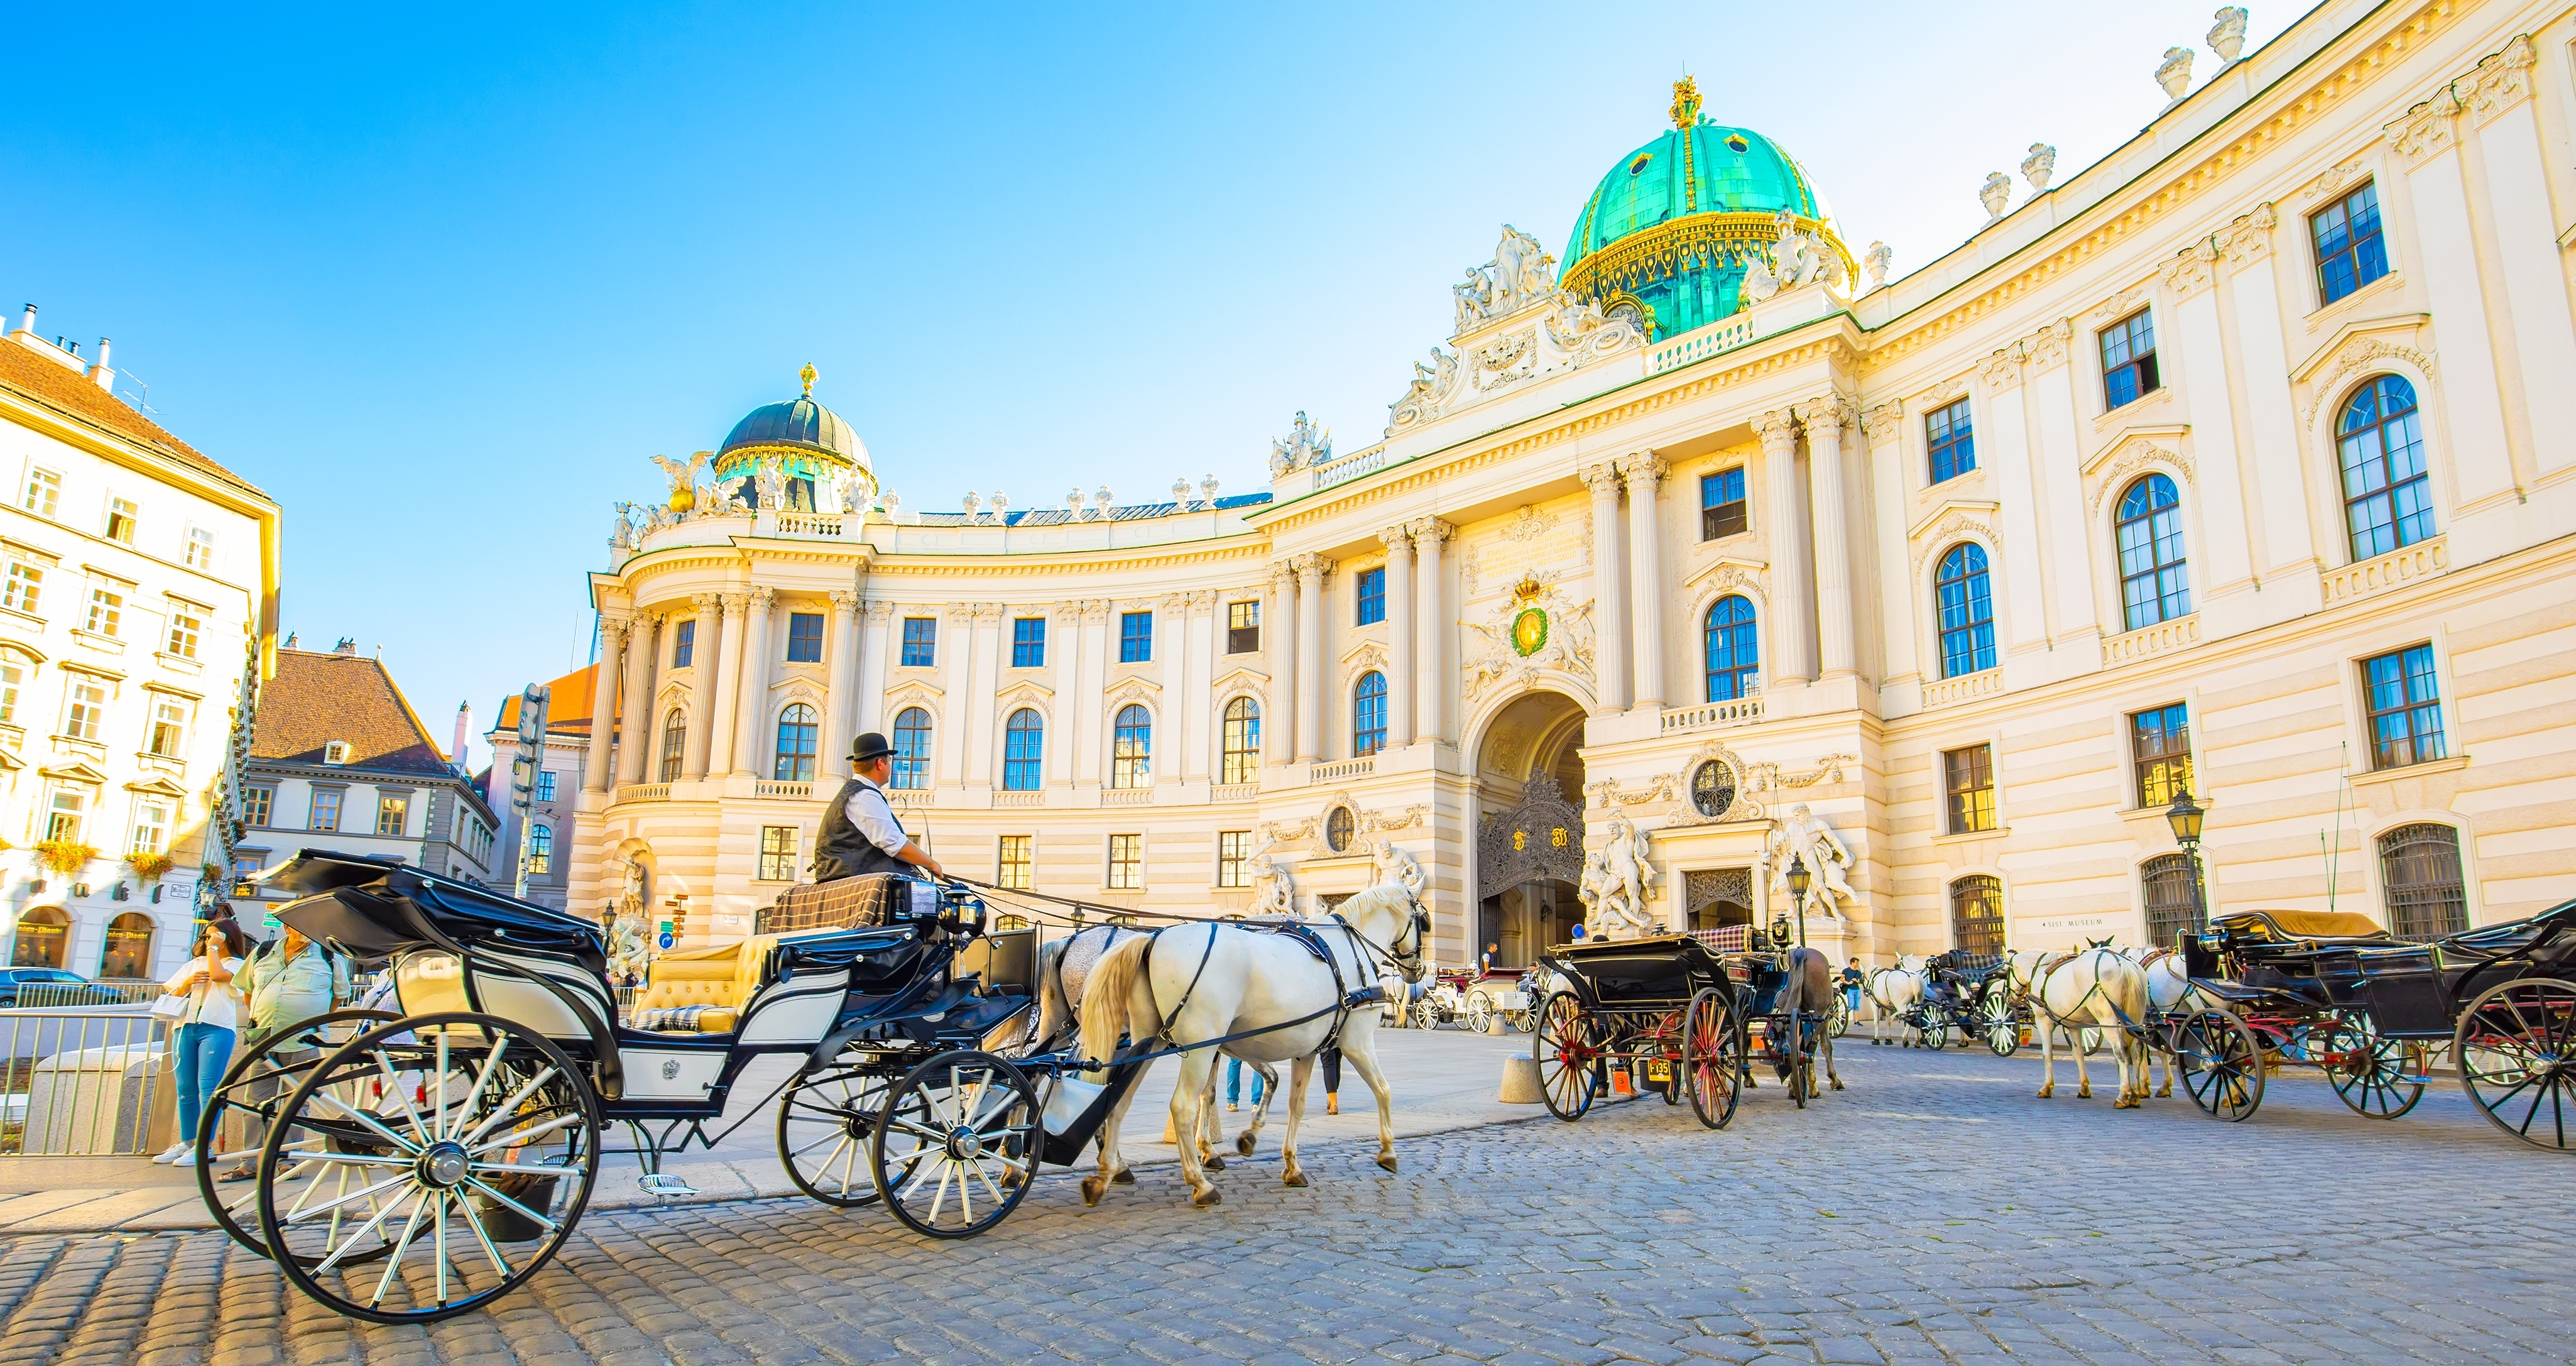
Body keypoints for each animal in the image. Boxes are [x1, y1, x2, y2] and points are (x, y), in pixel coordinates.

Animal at [1071, 876, 1432, 1196]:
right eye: (1423, 920)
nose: (1418, 970)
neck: (1349, 948)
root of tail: (1154, 939)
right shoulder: (1357, 1044)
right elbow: (1383, 1091)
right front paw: (1388, 1152)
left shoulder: (1306, 1050)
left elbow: (1296, 1104)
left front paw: (1290, 1163)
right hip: (1200, 1048)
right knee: (1182, 1107)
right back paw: (1199, 1184)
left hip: (1148, 1040)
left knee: (1120, 1098)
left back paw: (1105, 1174)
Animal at [2009, 948, 2153, 1103]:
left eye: (2007, 971)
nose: (2009, 999)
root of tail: (2123, 963)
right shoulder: (2073, 1026)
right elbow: (2078, 1054)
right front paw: (2084, 1089)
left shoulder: (2043, 1021)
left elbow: (2047, 1054)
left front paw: (2047, 1087)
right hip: (2136, 1018)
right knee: (2138, 1050)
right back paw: (2135, 1093)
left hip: (2108, 1021)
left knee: (2121, 1051)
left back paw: (2124, 1095)